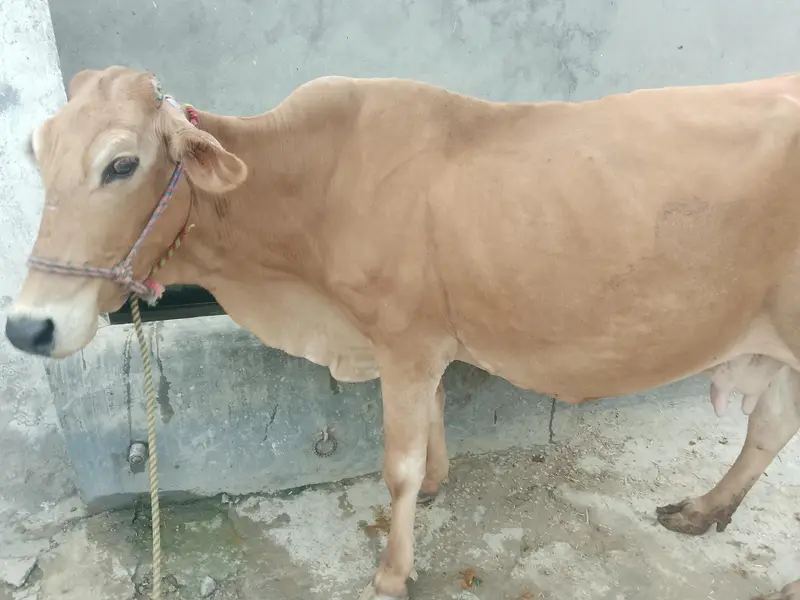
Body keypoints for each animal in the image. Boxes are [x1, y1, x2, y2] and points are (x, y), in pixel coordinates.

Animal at [5, 66, 800, 600]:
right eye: (38, 153)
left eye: (122, 163)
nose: (29, 326)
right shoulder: (423, 342)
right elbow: (436, 425)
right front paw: (441, 485)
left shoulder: (404, 344)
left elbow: (399, 468)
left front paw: (391, 572)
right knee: (769, 426)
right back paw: (705, 510)